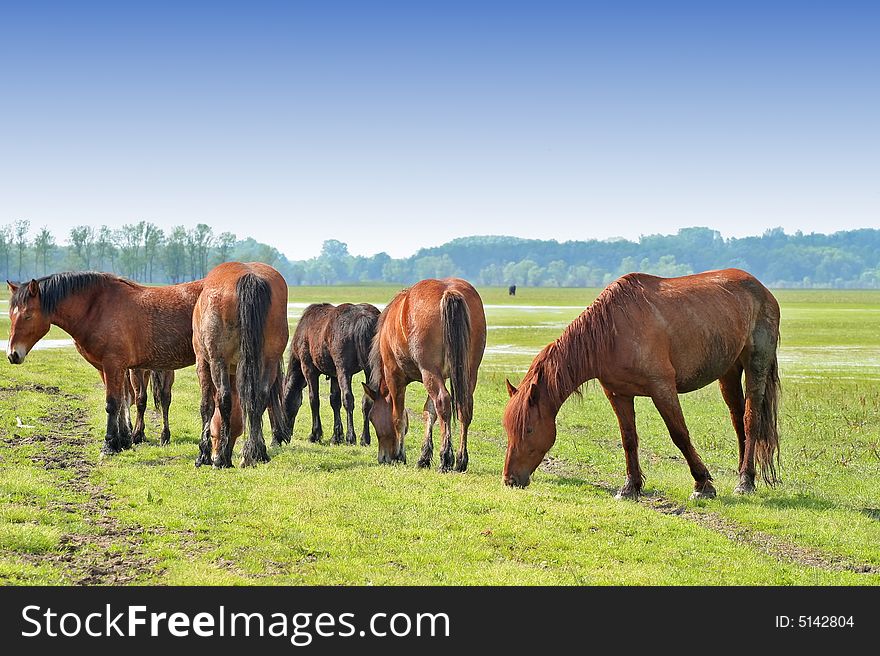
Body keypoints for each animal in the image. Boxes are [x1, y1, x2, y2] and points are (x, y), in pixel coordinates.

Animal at [6, 270, 203, 452]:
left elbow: (113, 403)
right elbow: (122, 401)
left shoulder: (113, 366)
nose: (12, 354)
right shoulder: (106, 368)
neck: (97, 308)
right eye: (10, 316)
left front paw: (109, 444)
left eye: (28, 315)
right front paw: (124, 440)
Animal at [192, 260, 288, 466]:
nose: (216, 452)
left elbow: (207, 406)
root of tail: (249, 276)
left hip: (217, 361)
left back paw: (222, 459)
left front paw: (204, 455)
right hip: (269, 361)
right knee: (260, 398)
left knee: (224, 399)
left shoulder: (203, 361)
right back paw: (256, 453)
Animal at [282, 302, 378, 446]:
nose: (285, 435)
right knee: (367, 400)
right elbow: (334, 401)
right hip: (369, 370)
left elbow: (314, 399)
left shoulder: (309, 369)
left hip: (343, 370)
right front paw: (336, 436)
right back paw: (364, 438)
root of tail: (363, 318)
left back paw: (351, 437)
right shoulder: (334, 375)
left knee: (348, 398)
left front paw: (315, 434)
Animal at [364, 276, 488, 472]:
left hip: (429, 372)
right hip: (467, 373)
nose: (383, 458)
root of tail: (449, 291)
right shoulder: (441, 376)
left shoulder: (395, 378)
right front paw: (424, 457)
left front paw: (400, 455)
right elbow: (429, 413)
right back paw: (460, 460)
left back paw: (446, 458)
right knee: (464, 408)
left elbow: (398, 417)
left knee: (443, 401)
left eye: (372, 419)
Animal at [498, 270, 780, 500]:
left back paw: (745, 482)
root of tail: (761, 288)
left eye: (529, 429)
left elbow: (679, 435)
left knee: (751, 420)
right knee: (737, 419)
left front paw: (703, 484)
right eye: (508, 429)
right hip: (728, 373)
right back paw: (744, 473)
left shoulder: (662, 388)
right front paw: (630, 486)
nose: (509, 480)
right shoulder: (618, 394)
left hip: (755, 365)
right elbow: (629, 439)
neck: (612, 331)